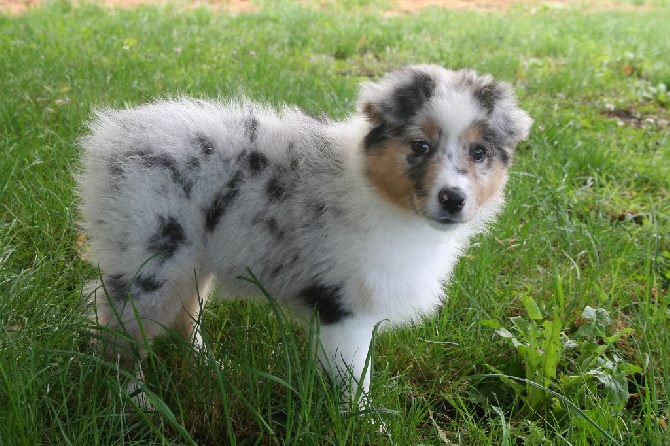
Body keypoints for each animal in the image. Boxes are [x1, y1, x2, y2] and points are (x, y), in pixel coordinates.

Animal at [76, 64, 532, 402]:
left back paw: (211, 368)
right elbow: (355, 380)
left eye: (479, 152)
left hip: (191, 258)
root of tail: (113, 136)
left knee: (184, 316)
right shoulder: (344, 307)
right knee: (120, 330)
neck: (382, 195)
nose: (453, 199)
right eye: (420, 146)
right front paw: (367, 424)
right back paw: (135, 399)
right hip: (152, 256)